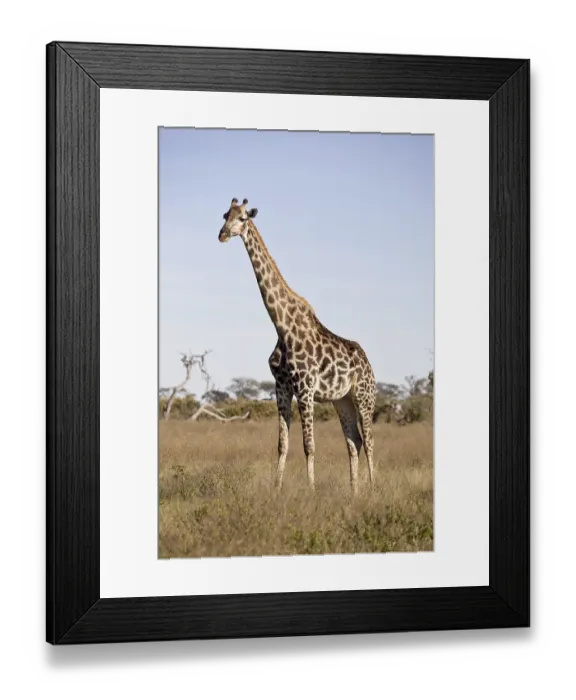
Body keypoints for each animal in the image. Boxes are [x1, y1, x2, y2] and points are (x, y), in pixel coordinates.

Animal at [218, 198, 376, 495]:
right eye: (225, 215)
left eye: (243, 218)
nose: (222, 234)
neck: (282, 326)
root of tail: (369, 364)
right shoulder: (281, 386)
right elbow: (283, 444)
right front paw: (276, 489)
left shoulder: (305, 387)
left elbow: (309, 445)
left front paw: (311, 490)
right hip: (342, 400)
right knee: (355, 441)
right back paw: (354, 493)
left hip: (364, 397)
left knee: (370, 441)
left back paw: (374, 490)